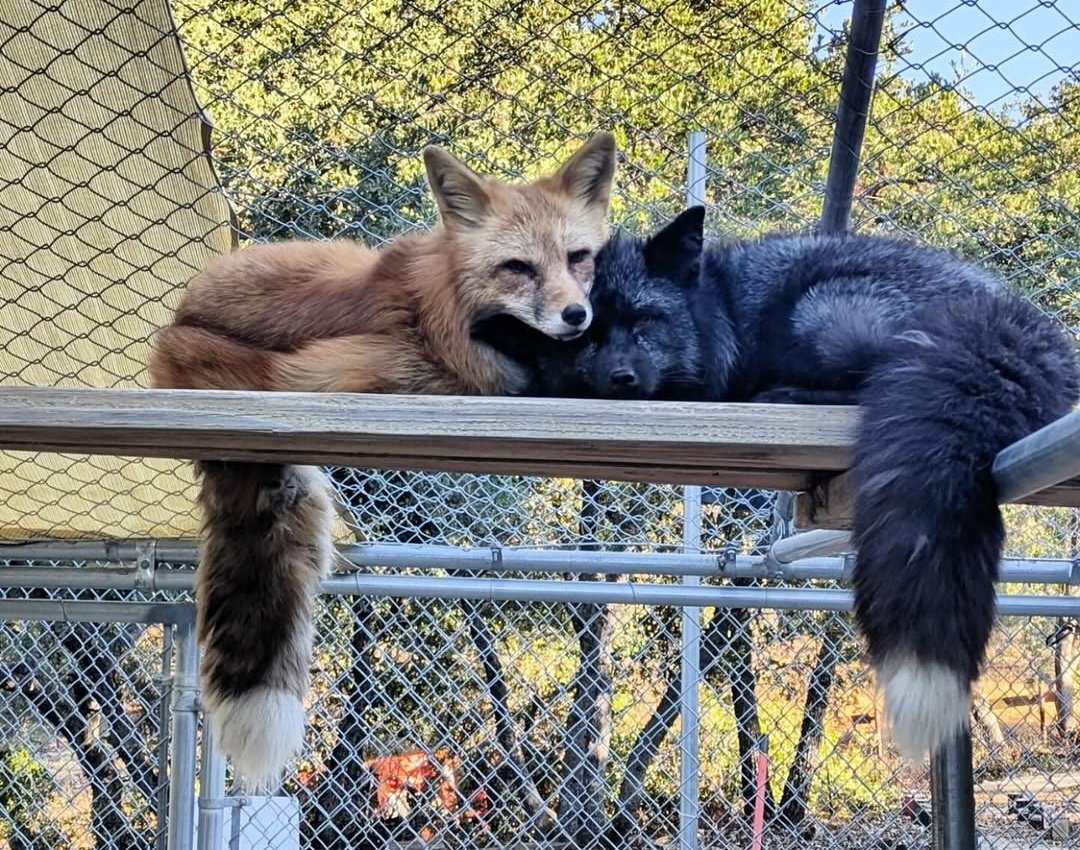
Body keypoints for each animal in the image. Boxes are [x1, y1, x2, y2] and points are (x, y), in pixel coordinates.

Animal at [475, 205, 1080, 760]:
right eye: (584, 338)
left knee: (864, 387)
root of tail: (1012, 316)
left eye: (646, 322)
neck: (716, 307)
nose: (622, 378)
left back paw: (784, 393)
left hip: (822, 313)